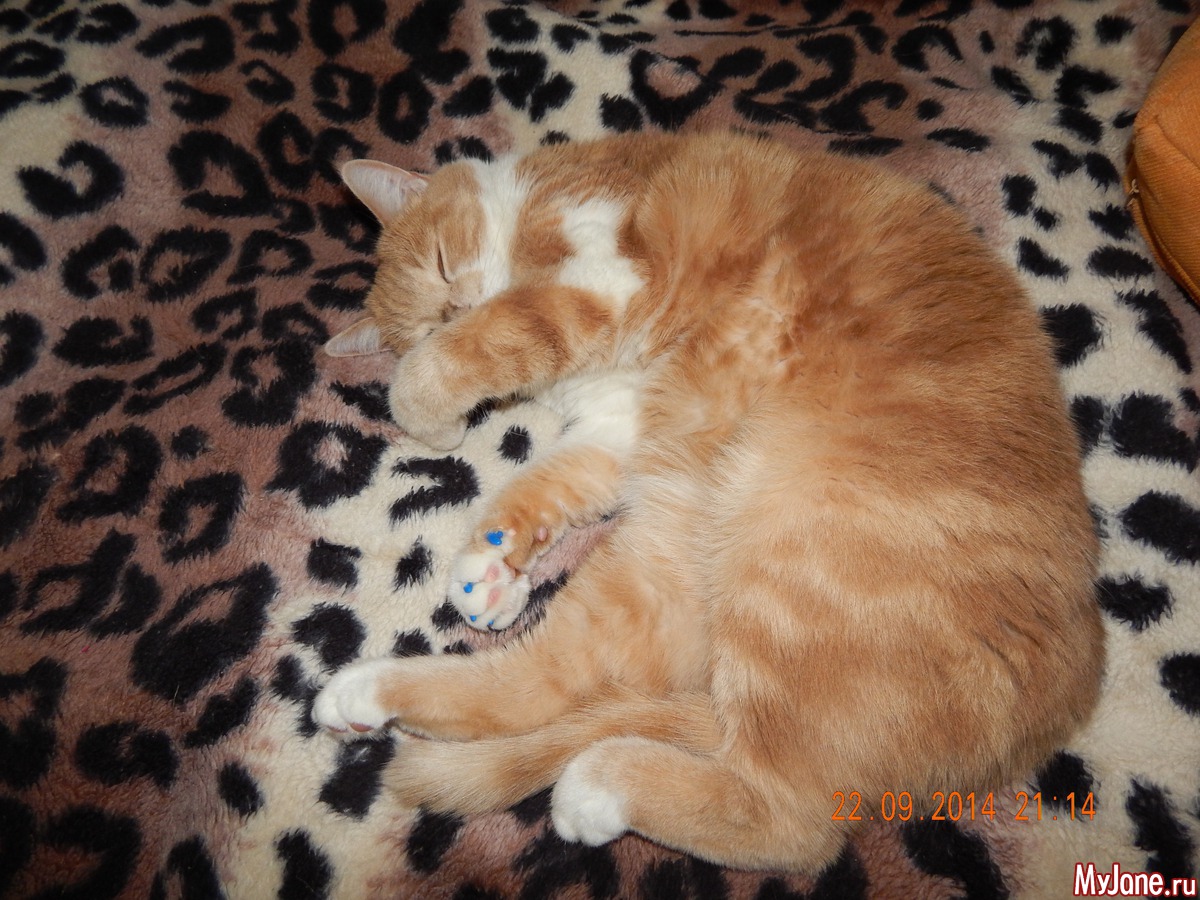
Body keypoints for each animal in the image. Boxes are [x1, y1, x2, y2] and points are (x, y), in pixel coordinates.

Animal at [313, 131, 1104, 872]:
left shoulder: (608, 279)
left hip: (782, 559)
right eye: (421, 315)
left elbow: (462, 357)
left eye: (443, 262)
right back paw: (365, 696)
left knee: (793, 825)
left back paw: (600, 784)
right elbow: (539, 483)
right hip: (671, 564)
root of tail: (1070, 690)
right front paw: (490, 568)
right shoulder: (615, 428)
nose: (455, 308)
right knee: (536, 684)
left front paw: (431, 407)